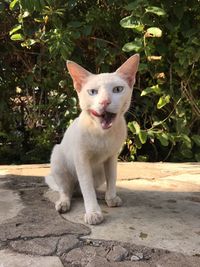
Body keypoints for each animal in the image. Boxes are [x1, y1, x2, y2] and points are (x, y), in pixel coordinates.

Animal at [45, 54, 139, 226]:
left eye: (118, 89)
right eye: (93, 92)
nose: (105, 102)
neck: (102, 134)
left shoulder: (112, 157)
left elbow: (112, 178)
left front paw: (110, 196)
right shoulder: (81, 159)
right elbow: (86, 187)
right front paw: (93, 212)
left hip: (99, 172)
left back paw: (102, 195)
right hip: (57, 158)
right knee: (66, 190)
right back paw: (64, 202)